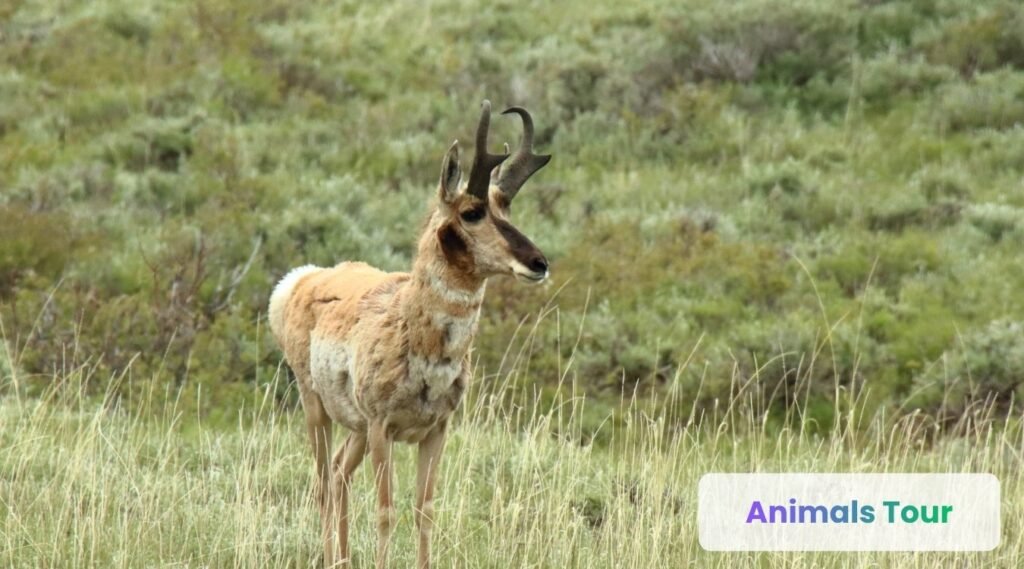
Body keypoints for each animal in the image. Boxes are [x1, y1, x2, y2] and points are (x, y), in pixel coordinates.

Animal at [267, 100, 552, 568]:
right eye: (472, 212)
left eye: (506, 207)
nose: (539, 262)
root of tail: (302, 279)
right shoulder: (383, 428)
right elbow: (386, 511)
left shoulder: (436, 430)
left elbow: (425, 510)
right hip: (317, 409)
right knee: (324, 483)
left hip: (356, 430)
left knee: (340, 476)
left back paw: (344, 559)